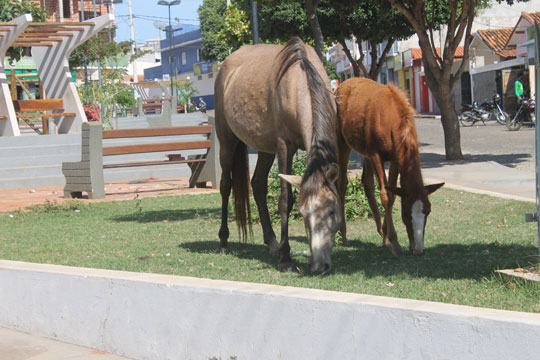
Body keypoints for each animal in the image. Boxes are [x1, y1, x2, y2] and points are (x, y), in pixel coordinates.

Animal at [213, 36, 340, 274]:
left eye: (331, 211)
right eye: (303, 213)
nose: (319, 266)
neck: (299, 83)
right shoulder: (284, 146)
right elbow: (285, 200)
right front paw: (286, 257)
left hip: (264, 148)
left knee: (258, 184)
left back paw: (272, 242)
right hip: (227, 140)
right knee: (226, 185)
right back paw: (223, 241)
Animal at [336, 77, 446, 255]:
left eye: (428, 210)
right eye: (406, 213)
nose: (418, 249)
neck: (391, 118)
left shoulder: (395, 158)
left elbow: (393, 194)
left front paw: (387, 238)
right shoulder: (376, 155)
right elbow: (385, 194)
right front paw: (394, 242)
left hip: (365, 151)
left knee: (367, 184)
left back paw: (381, 232)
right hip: (343, 142)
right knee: (342, 183)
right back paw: (343, 234)